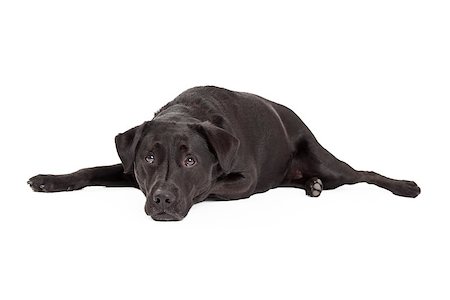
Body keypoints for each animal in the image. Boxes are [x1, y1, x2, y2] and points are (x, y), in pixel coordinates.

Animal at [28, 85, 422, 219]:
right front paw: (49, 180)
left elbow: (209, 185)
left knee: (363, 173)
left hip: (326, 162)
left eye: (190, 160)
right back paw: (311, 185)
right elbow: (90, 170)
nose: (162, 199)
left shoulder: (244, 179)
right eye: (148, 158)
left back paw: (405, 186)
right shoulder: (129, 170)